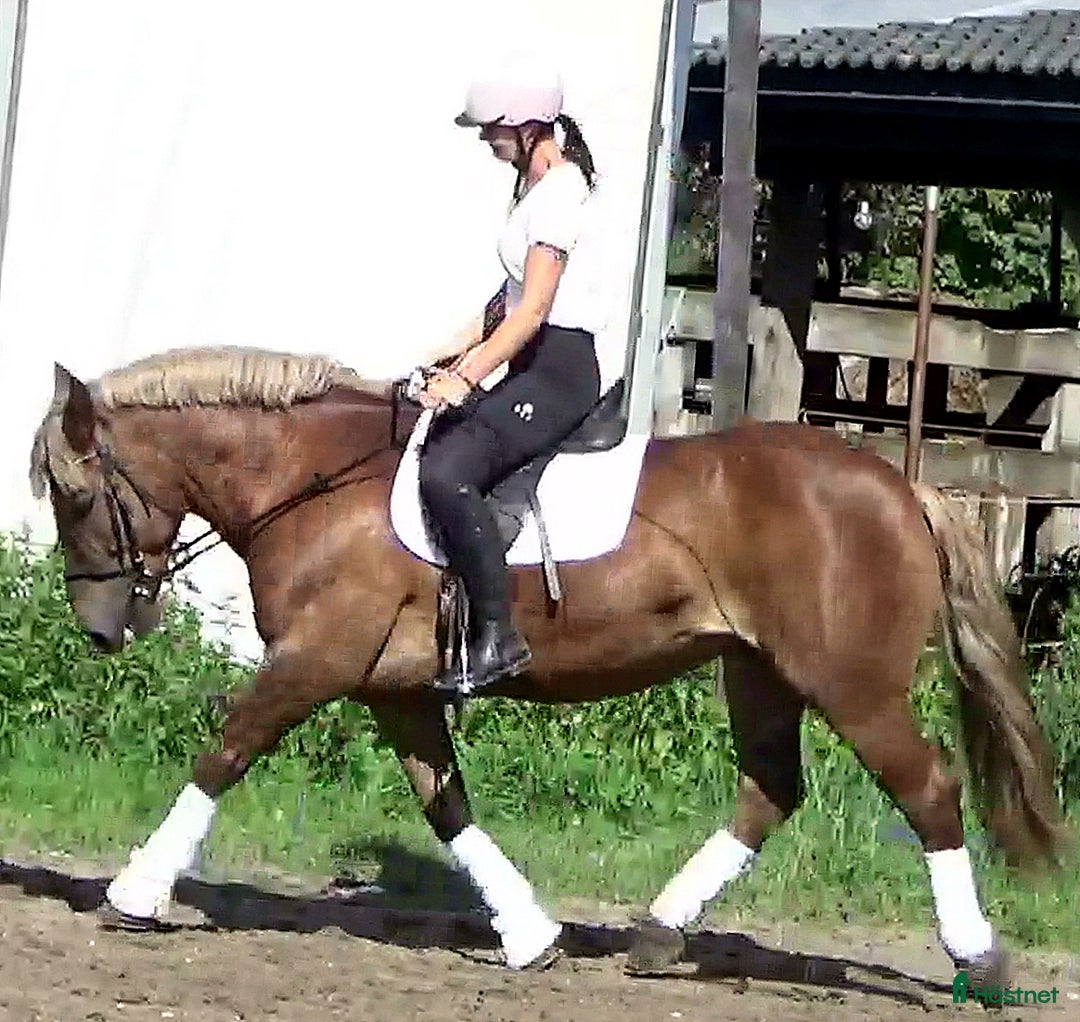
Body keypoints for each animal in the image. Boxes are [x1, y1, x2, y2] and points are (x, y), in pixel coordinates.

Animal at [28, 345, 1069, 982]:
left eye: (75, 497)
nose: (101, 630)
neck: (315, 485)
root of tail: (902, 485)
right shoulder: (392, 688)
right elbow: (445, 803)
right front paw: (530, 935)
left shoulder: (315, 660)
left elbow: (223, 754)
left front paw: (134, 893)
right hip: (759, 672)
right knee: (770, 789)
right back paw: (658, 933)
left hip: (849, 684)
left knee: (926, 789)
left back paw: (976, 954)